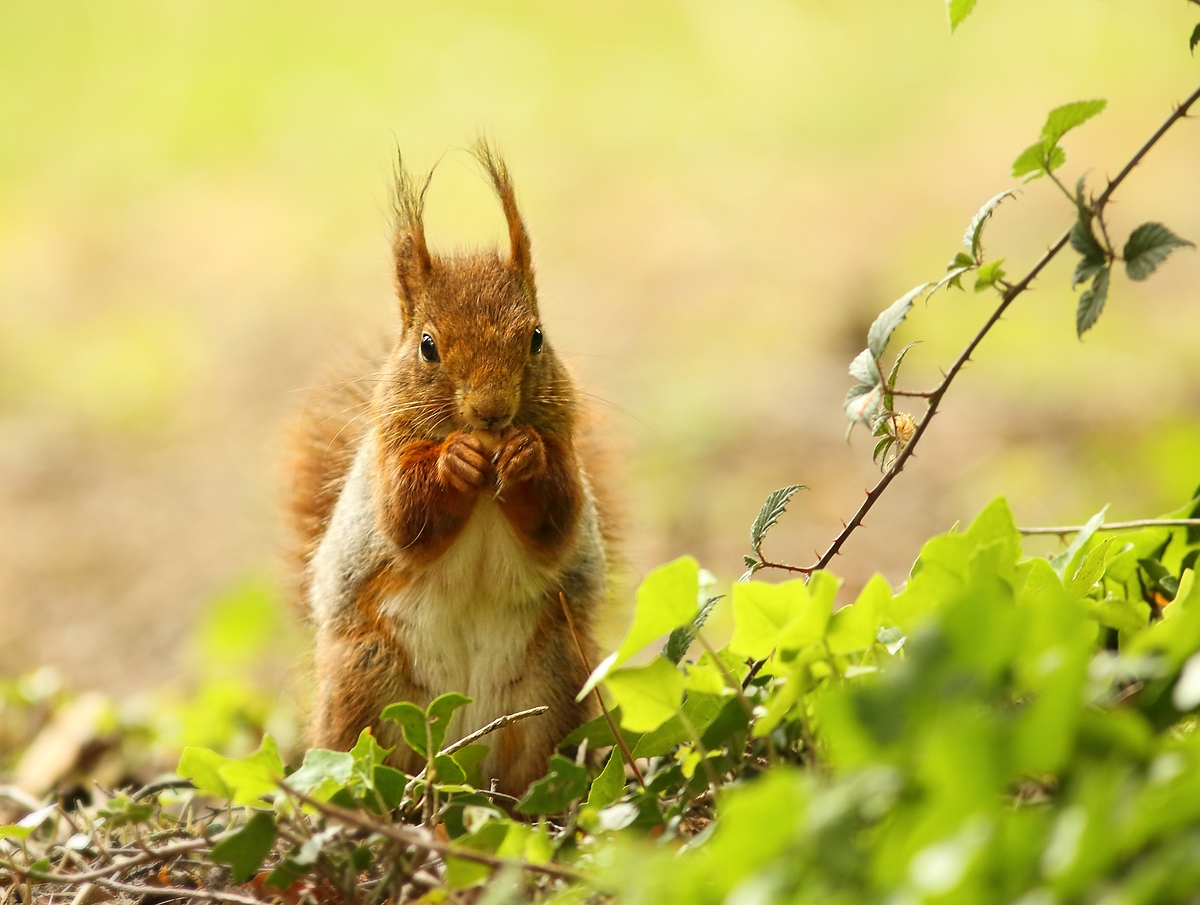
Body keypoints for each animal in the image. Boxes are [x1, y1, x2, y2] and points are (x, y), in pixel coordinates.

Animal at [282, 144, 619, 792]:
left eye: (537, 337)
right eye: (427, 346)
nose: (492, 412)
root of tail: (463, 760)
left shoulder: (565, 453)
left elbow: (558, 517)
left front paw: (525, 457)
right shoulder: (387, 464)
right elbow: (405, 519)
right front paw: (452, 463)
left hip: (555, 680)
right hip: (367, 686)